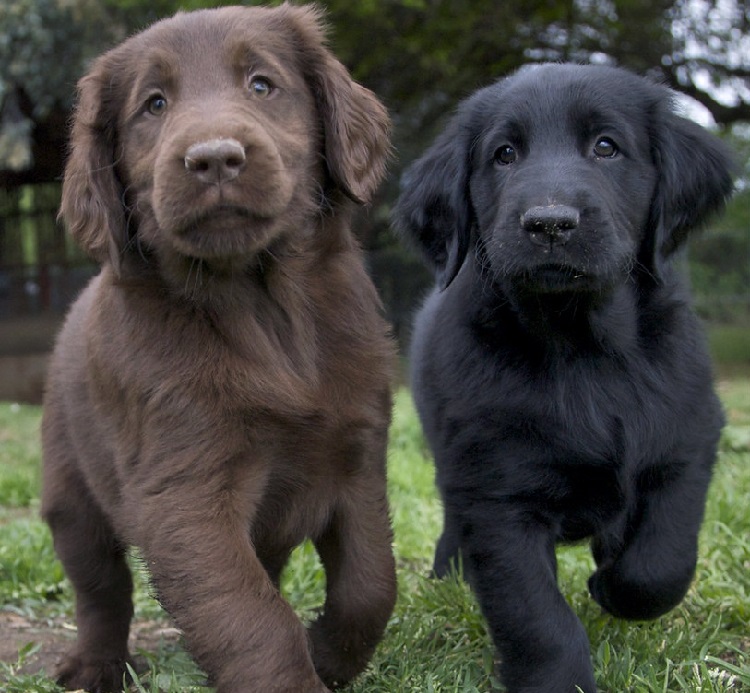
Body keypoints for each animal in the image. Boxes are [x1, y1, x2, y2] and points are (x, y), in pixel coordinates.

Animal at [42, 4, 400, 688]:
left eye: (261, 84)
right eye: (153, 105)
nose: (213, 159)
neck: (261, 307)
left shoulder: (359, 454)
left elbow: (370, 583)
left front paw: (327, 653)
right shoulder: (186, 493)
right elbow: (251, 620)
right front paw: (295, 672)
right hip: (71, 493)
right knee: (101, 592)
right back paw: (95, 666)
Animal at [396, 65, 736, 692]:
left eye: (606, 146)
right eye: (504, 154)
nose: (549, 223)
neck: (583, 350)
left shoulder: (687, 443)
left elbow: (661, 563)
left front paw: (613, 582)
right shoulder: (497, 495)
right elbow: (536, 616)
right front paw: (558, 680)